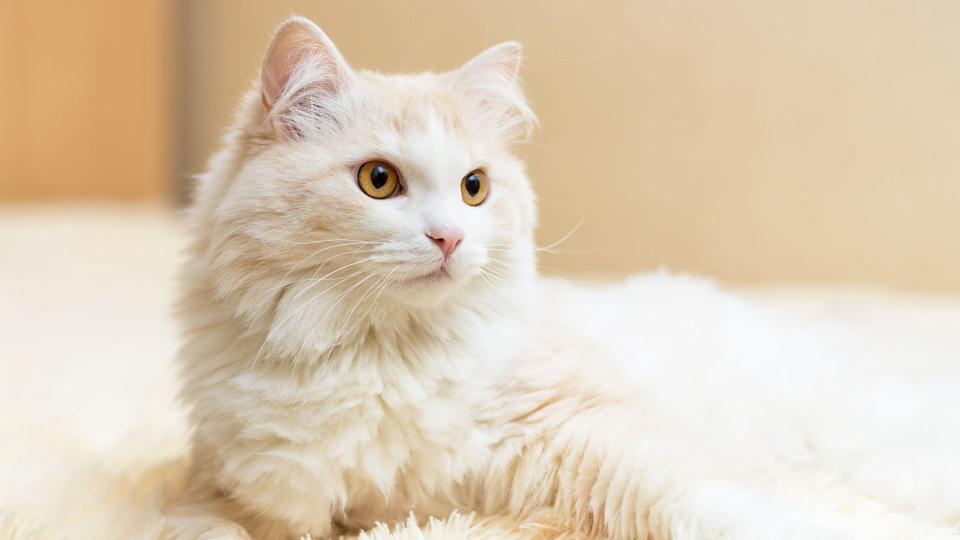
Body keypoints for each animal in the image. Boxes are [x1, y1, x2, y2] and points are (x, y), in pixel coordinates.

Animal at [165, 14, 960, 536]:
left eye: (475, 188)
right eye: (379, 180)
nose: (451, 237)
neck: (383, 358)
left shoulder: (590, 432)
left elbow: (712, 505)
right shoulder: (228, 495)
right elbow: (211, 525)